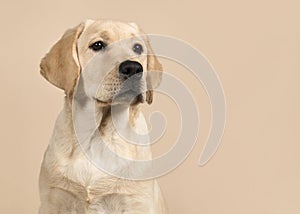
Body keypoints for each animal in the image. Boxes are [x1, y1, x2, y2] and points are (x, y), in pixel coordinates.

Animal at [38, 19, 168, 213]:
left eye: (138, 48)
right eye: (98, 45)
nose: (133, 68)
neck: (98, 135)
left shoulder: (136, 201)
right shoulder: (53, 200)